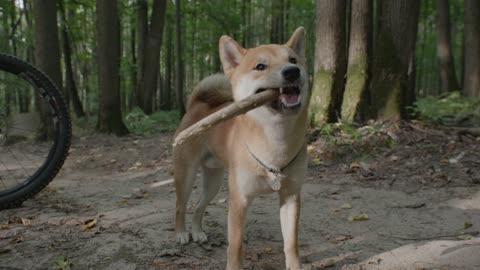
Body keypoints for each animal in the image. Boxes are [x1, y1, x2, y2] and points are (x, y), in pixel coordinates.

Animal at [174, 26, 310, 270]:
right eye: (260, 66)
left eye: (293, 60)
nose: (292, 72)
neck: (276, 142)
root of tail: (197, 105)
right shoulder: (239, 200)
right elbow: (235, 247)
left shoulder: (291, 196)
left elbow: (291, 244)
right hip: (186, 175)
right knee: (181, 205)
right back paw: (181, 233)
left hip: (214, 181)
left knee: (199, 207)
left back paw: (197, 232)